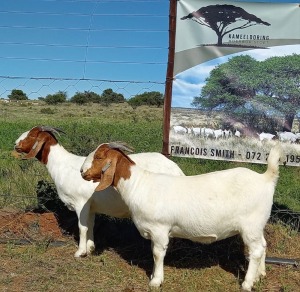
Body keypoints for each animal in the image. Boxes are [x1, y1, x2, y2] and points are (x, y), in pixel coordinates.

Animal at [14, 126, 185, 256]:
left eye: (32, 135)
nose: (15, 144)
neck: (62, 165)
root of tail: (177, 170)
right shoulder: (90, 206)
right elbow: (90, 225)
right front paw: (90, 248)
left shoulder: (80, 203)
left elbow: (82, 227)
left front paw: (80, 252)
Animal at [81, 143, 282, 290]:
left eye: (99, 157)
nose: (82, 172)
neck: (138, 184)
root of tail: (266, 178)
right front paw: (154, 275)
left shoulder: (159, 228)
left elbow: (157, 254)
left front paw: (156, 281)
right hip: (257, 225)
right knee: (263, 245)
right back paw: (259, 275)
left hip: (250, 225)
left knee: (256, 251)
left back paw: (247, 283)